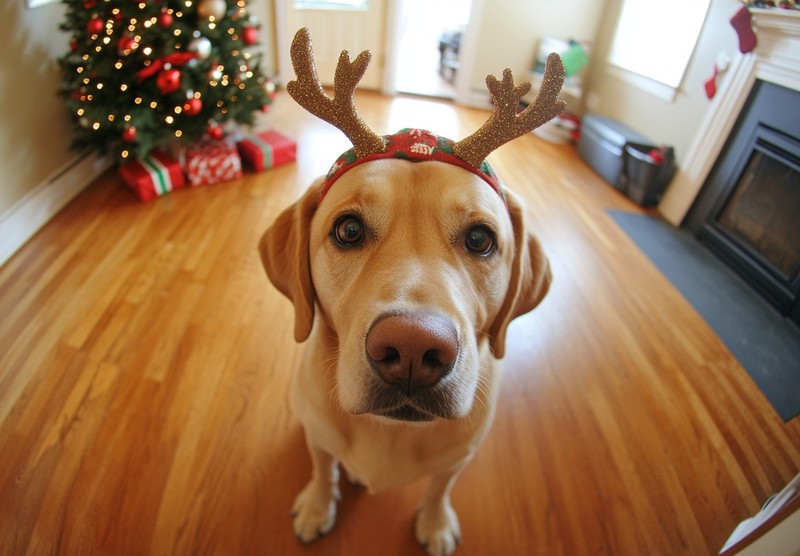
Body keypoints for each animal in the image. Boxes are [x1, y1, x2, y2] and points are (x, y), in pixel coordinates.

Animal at [260, 27, 564, 556]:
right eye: (348, 231)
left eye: (481, 239)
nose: (411, 348)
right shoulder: (316, 436)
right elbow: (322, 469)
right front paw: (318, 506)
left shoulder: (460, 458)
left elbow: (439, 488)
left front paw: (436, 524)